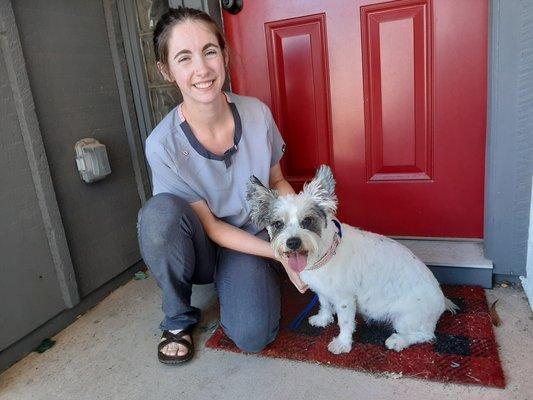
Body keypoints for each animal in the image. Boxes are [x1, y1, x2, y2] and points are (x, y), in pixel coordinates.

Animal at [246, 165, 458, 354]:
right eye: (277, 224)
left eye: (307, 221)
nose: (293, 242)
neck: (326, 253)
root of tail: (442, 300)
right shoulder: (323, 291)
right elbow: (324, 303)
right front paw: (323, 319)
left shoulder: (345, 299)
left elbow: (345, 323)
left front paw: (342, 343)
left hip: (406, 317)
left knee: (425, 335)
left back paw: (399, 340)